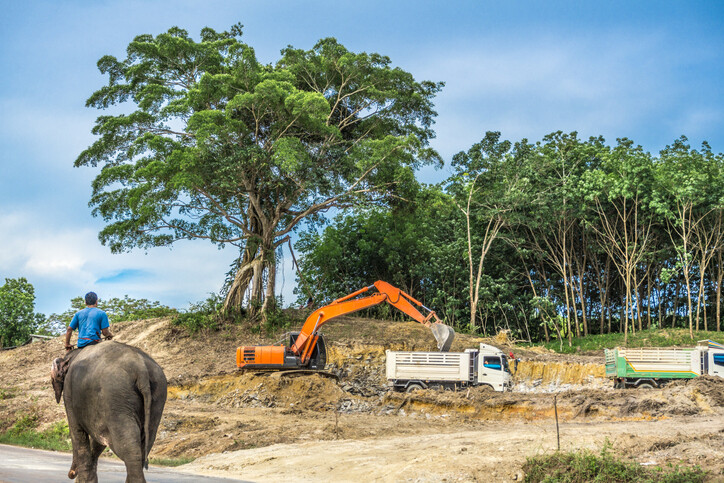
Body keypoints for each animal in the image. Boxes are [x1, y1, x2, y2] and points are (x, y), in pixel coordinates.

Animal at [51, 342, 167, 482]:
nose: (72, 474)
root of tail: (141, 369)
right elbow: (98, 440)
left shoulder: (69, 393)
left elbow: (77, 431)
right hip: (158, 395)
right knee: (146, 443)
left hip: (116, 397)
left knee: (127, 447)